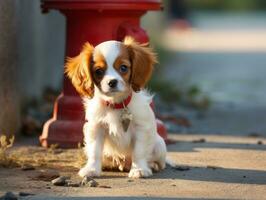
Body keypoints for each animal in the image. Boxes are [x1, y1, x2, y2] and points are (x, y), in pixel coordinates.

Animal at [65, 36, 166, 178]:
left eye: (123, 68)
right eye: (99, 71)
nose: (112, 82)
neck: (116, 104)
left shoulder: (141, 128)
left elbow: (139, 151)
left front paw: (139, 169)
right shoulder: (96, 127)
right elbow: (95, 151)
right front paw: (91, 169)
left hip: (159, 146)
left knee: (160, 162)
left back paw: (152, 165)